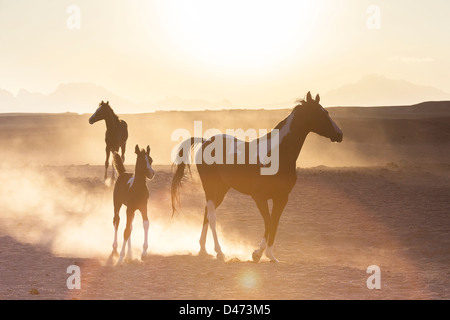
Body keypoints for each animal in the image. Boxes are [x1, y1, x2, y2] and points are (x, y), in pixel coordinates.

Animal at [171, 92, 342, 262]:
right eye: (319, 114)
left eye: (326, 112)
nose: (339, 134)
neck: (278, 154)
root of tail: (206, 141)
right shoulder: (259, 197)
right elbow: (268, 221)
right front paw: (257, 253)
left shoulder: (282, 198)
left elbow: (274, 223)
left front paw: (271, 256)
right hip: (210, 186)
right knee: (212, 215)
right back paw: (219, 252)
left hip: (222, 188)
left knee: (207, 212)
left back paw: (203, 250)